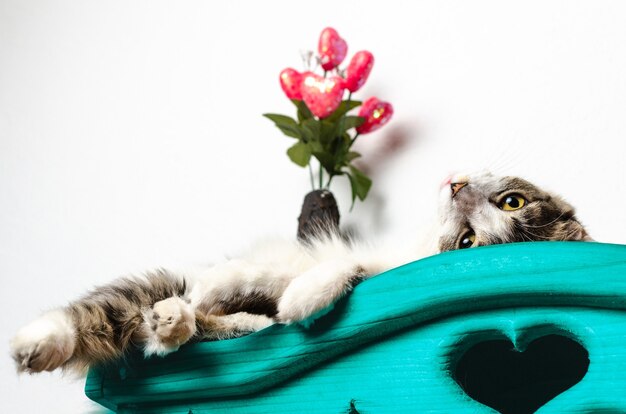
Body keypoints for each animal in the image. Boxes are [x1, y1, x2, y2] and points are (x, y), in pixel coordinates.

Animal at [9, 171, 588, 376]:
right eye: (512, 201)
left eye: (468, 244)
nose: (459, 187)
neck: (412, 250)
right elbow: (259, 273)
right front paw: (228, 286)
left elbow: (333, 275)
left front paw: (301, 301)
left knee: (141, 322)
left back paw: (177, 322)